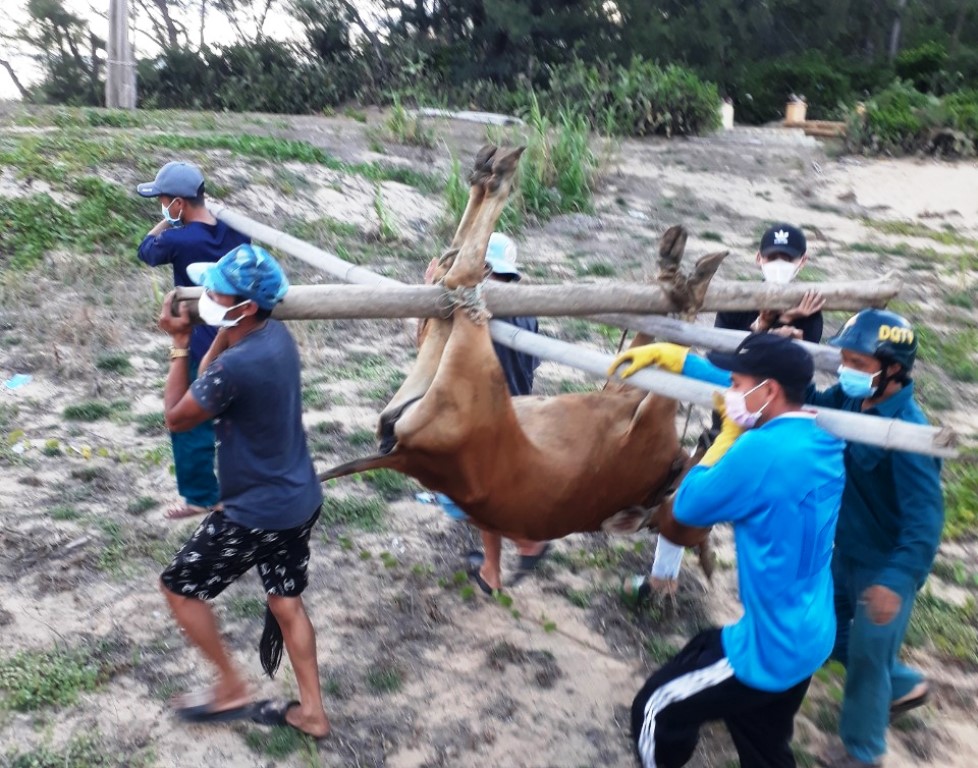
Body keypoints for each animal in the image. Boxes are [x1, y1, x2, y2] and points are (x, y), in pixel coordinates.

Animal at [322, 144, 724, 588]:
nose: (712, 435)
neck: (661, 480)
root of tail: (406, 457)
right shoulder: (630, 396)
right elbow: (659, 339)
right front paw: (679, 283)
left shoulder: (648, 420)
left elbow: (672, 344)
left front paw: (684, 287)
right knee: (453, 274)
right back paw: (488, 178)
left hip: (470, 369)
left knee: (459, 282)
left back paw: (495, 180)